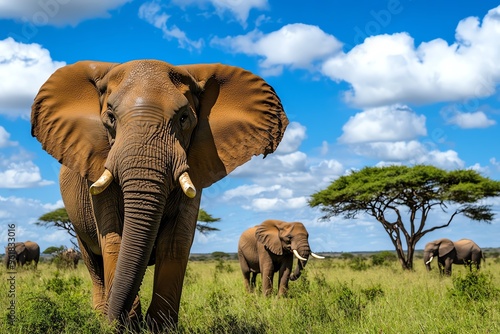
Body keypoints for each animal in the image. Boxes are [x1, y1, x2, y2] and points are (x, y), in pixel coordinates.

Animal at [30, 60, 290, 332]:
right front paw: (126, 326)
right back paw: (101, 314)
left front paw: (158, 328)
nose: (118, 320)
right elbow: (113, 239)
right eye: (110, 118)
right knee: (93, 262)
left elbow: (176, 242)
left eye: (184, 118)